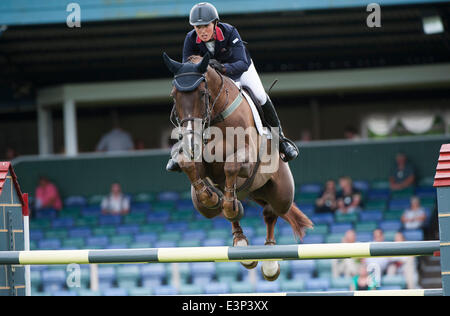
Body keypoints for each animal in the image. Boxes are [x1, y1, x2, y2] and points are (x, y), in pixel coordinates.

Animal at [163, 52, 312, 282]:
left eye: (202, 93)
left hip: (281, 195)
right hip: (247, 195)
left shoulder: (248, 158)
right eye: (174, 96)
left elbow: (231, 167)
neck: (216, 116)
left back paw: (269, 262)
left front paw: (224, 202)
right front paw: (211, 197)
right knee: (232, 208)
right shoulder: (200, 162)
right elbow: (189, 165)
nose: (190, 141)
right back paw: (239, 238)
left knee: (271, 212)